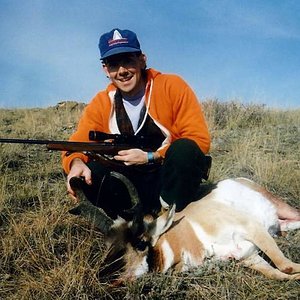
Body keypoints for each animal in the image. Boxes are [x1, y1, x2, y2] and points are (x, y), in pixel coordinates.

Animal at [69, 173, 300, 282]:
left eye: (141, 243)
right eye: (108, 244)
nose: (103, 277)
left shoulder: (253, 229)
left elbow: (285, 266)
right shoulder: (250, 257)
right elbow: (281, 273)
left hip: (283, 210)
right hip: (282, 225)